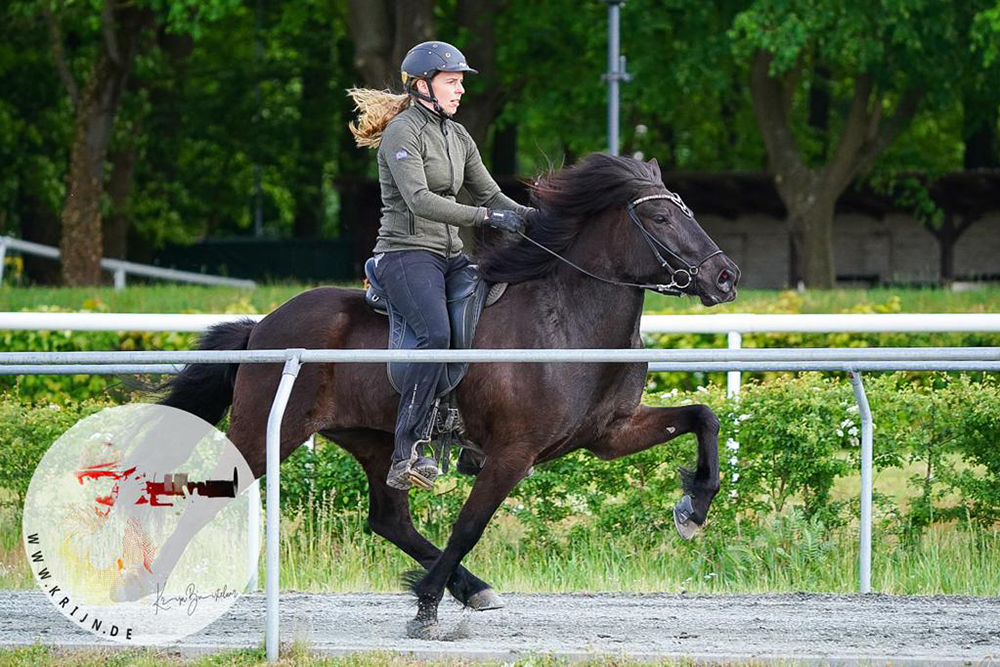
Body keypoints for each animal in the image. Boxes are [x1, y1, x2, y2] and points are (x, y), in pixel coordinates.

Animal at [160, 154, 740, 640]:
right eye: (661, 218)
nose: (725, 276)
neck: (566, 323)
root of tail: (263, 325)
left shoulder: (610, 433)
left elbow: (704, 417)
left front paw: (694, 506)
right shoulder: (512, 452)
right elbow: (469, 525)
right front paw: (426, 608)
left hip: (376, 440)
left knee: (389, 520)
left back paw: (473, 587)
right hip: (266, 432)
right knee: (208, 495)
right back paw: (155, 589)